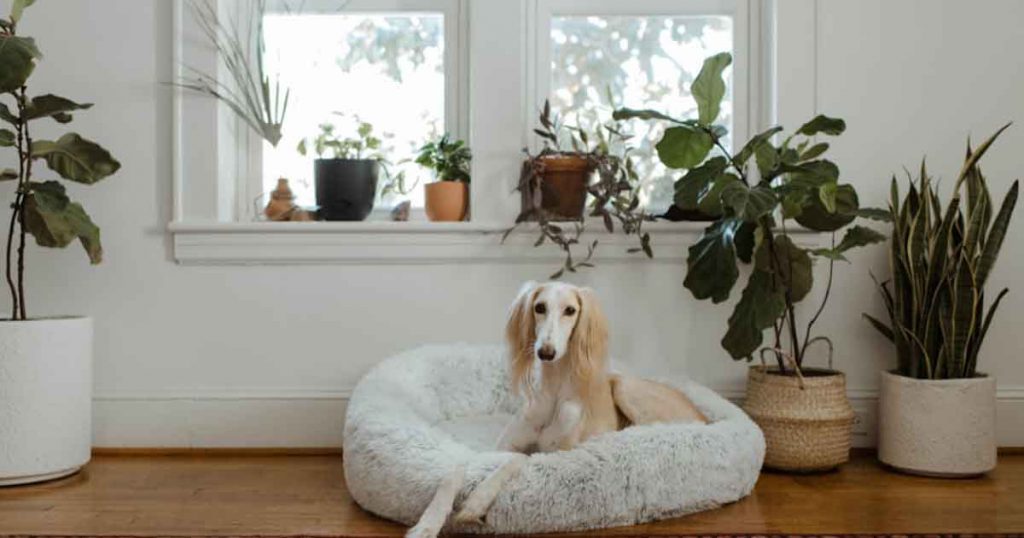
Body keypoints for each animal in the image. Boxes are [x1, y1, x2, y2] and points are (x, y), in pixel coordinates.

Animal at [403, 280, 708, 536]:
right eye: (539, 307)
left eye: (570, 310)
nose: (546, 352)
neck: (553, 393)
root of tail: (704, 416)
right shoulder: (497, 448)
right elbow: (455, 470)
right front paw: (426, 525)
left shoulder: (556, 455)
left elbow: (518, 460)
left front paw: (476, 503)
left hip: (625, 386)